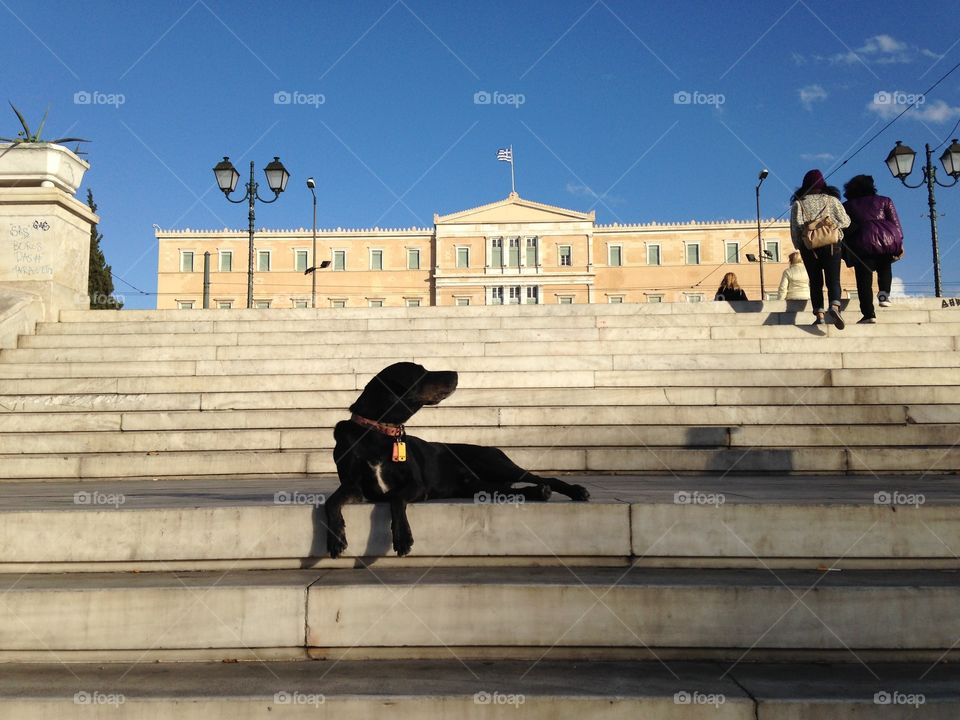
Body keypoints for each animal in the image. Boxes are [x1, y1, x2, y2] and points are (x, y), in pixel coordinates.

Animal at [326, 362, 588, 560]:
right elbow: (332, 501)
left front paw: (402, 537)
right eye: (420, 371)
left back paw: (575, 490)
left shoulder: (417, 485)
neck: (378, 432)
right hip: (480, 486)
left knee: (545, 477)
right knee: (512, 491)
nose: (456, 373)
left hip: (497, 465)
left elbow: (396, 499)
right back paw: (538, 493)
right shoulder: (353, 486)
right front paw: (336, 539)